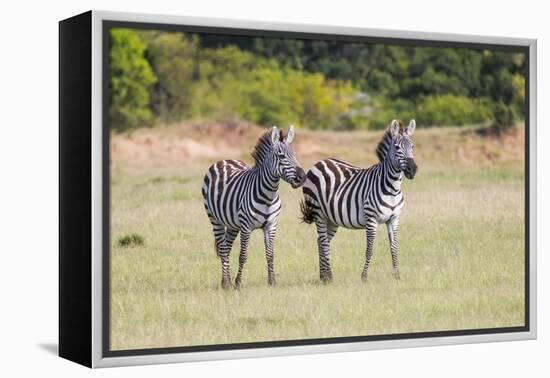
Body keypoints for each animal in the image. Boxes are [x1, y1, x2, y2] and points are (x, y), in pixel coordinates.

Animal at [202, 125, 306, 288]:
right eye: (281, 156)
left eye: (295, 155)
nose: (302, 178)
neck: (268, 196)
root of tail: (224, 160)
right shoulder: (246, 226)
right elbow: (243, 255)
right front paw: (238, 283)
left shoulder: (271, 225)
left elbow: (270, 254)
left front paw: (272, 281)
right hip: (214, 219)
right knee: (223, 249)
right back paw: (226, 283)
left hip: (232, 224)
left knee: (227, 247)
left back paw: (227, 281)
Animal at [302, 119, 418, 282]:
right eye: (397, 148)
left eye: (412, 146)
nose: (412, 170)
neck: (392, 188)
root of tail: (320, 162)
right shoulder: (371, 219)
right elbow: (369, 249)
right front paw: (364, 277)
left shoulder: (394, 219)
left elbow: (394, 248)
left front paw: (397, 276)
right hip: (318, 213)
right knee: (323, 242)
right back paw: (328, 277)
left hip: (331, 218)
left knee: (321, 241)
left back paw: (323, 275)